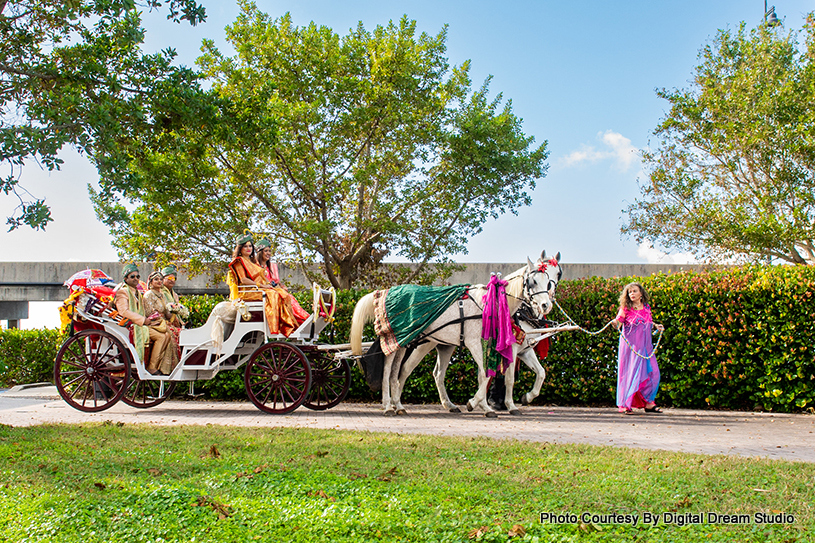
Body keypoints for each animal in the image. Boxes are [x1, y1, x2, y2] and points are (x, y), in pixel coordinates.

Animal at [350, 251, 560, 416]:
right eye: (532, 281)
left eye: (553, 279)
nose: (545, 305)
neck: (491, 304)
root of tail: (388, 291)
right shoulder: (480, 343)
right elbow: (490, 375)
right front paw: (480, 404)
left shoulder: (510, 347)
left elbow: (529, 373)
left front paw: (492, 404)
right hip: (408, 342)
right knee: (390, 369)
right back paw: (388, 405)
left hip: (411, 341)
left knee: (406, 371)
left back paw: (403, 405)